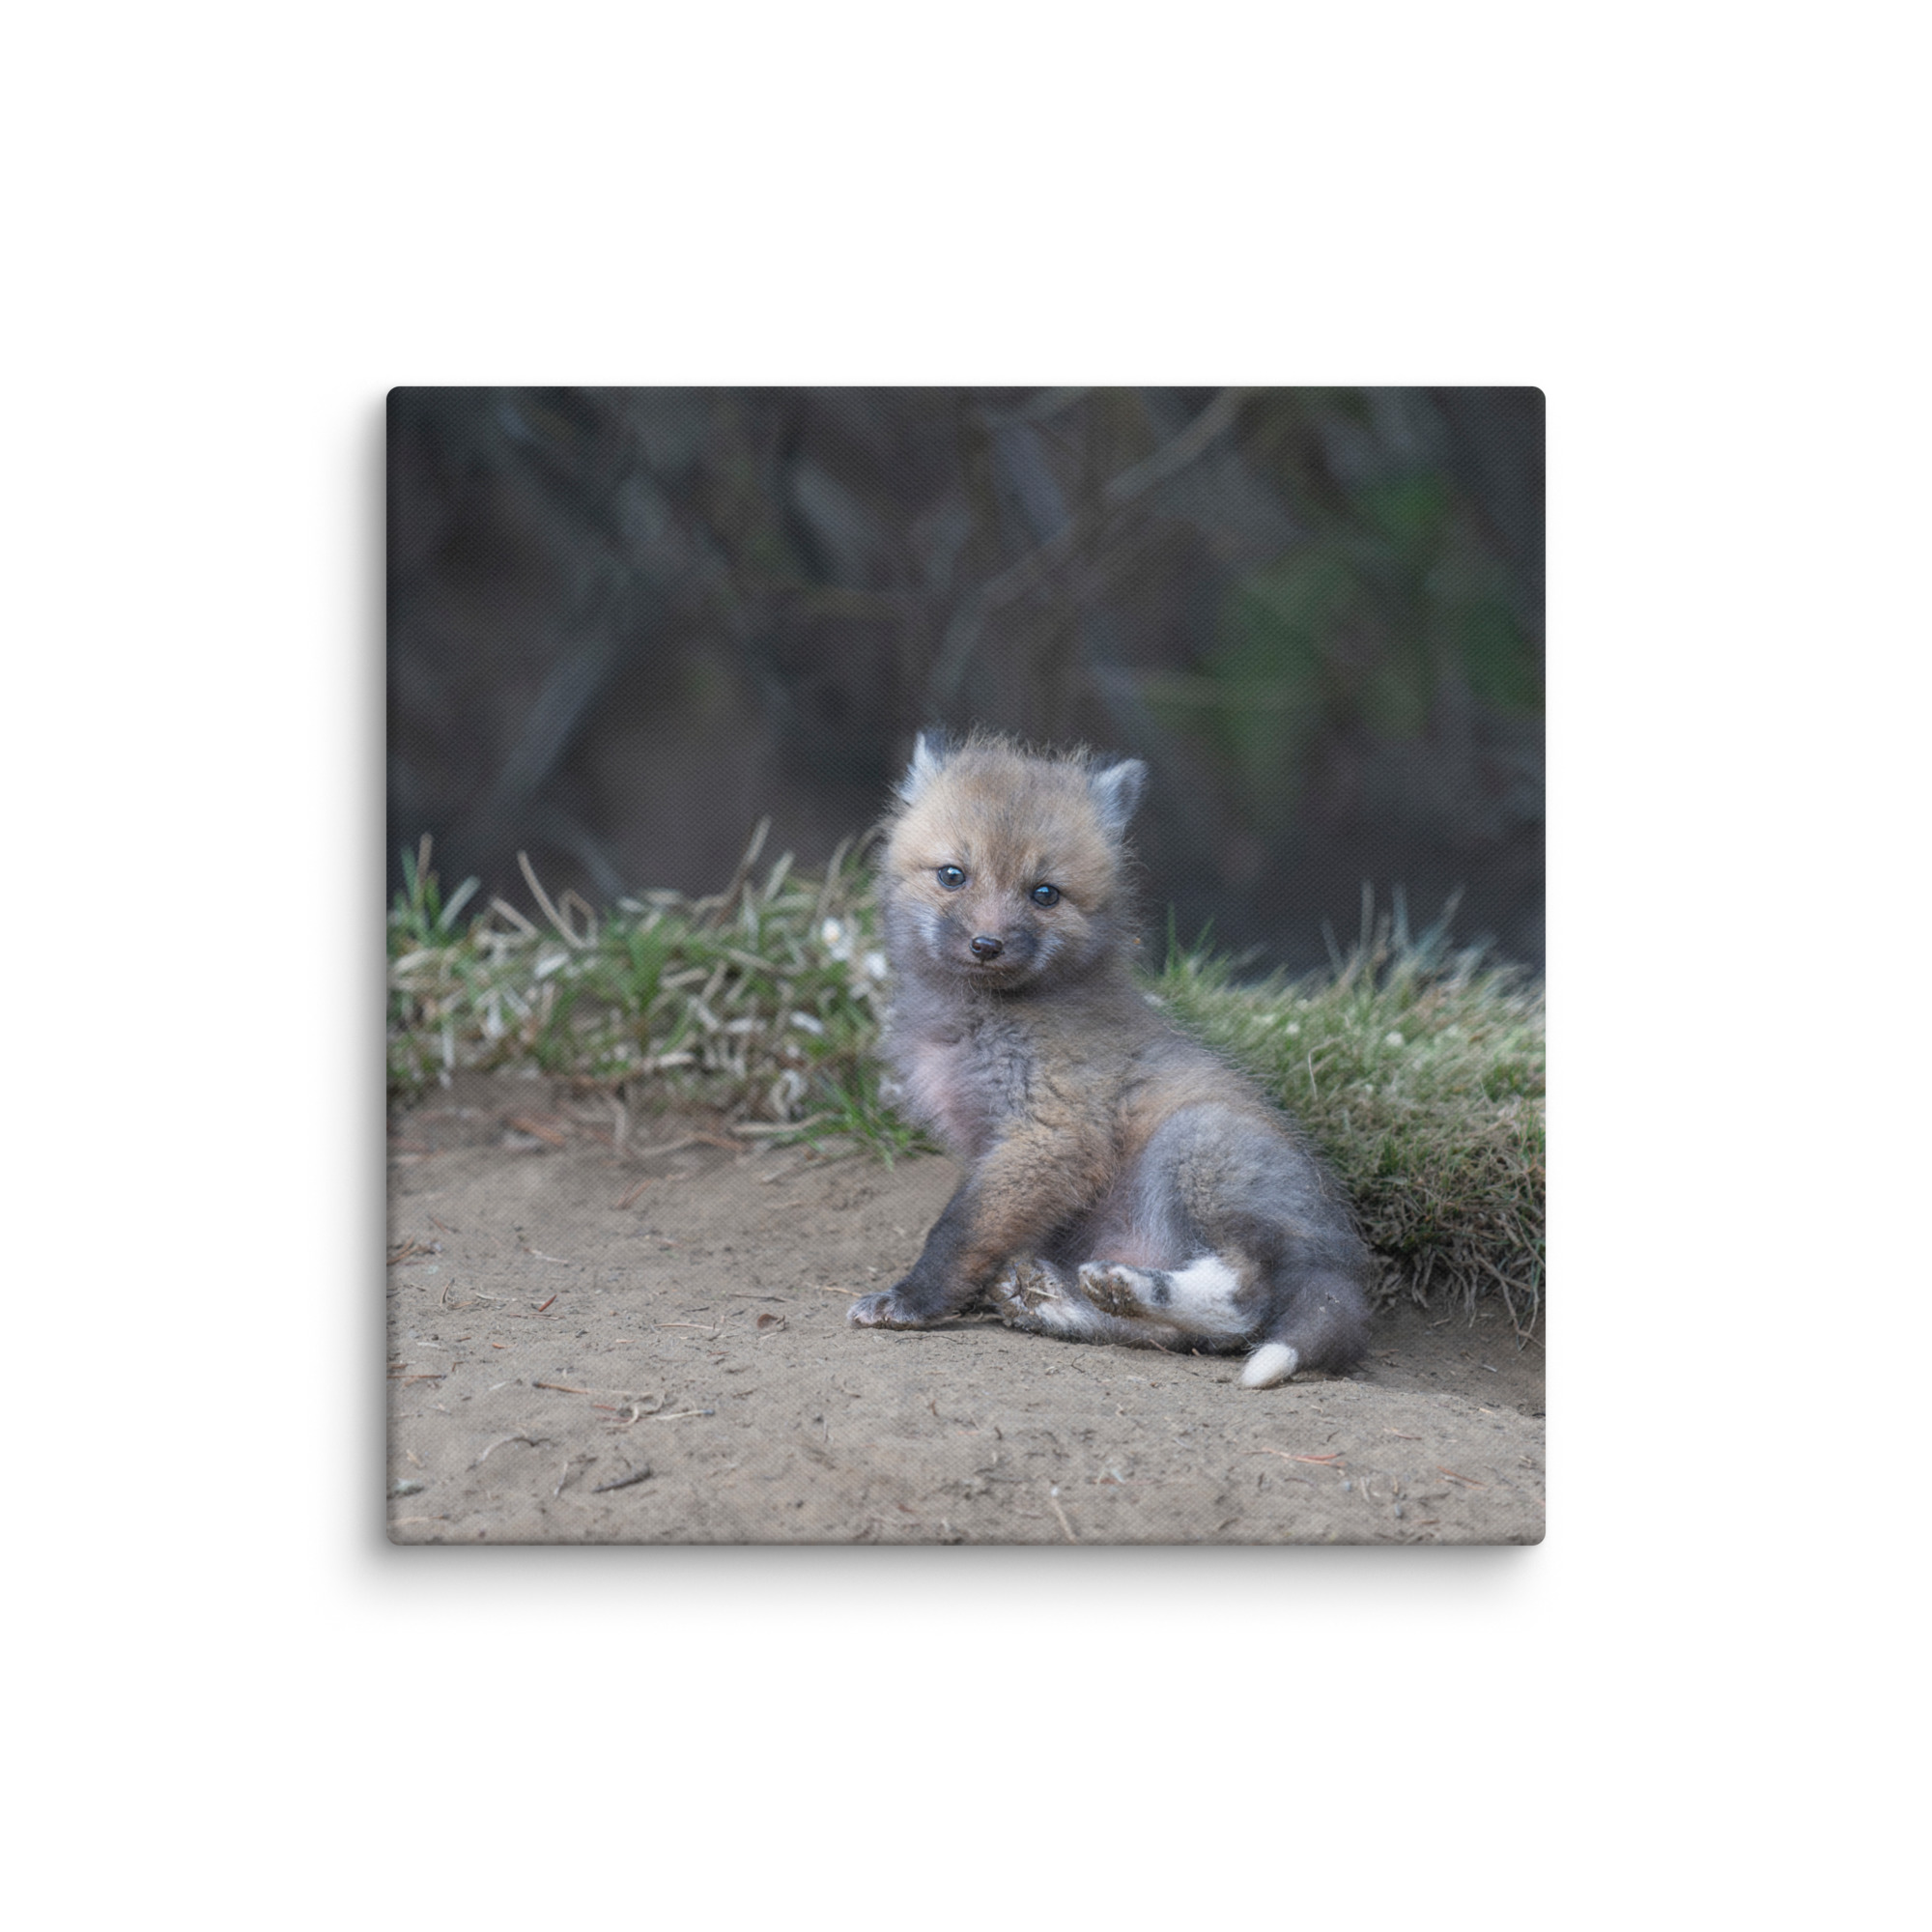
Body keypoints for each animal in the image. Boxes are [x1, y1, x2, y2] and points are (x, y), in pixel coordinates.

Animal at [846, 730, 1373, 1388]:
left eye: (1045, 894)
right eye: (952, 875)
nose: (986, 945)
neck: (978, 1020)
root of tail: (1341, 1261)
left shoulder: (1051, 1133)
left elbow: (958, 1231)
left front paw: (912, 1300)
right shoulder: (995, 1147)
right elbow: (983, 1231)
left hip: (1194, 1144)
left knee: (1243, 1303)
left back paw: (1126, 1287)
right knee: (1180, 1337)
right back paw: (1060, 1302)